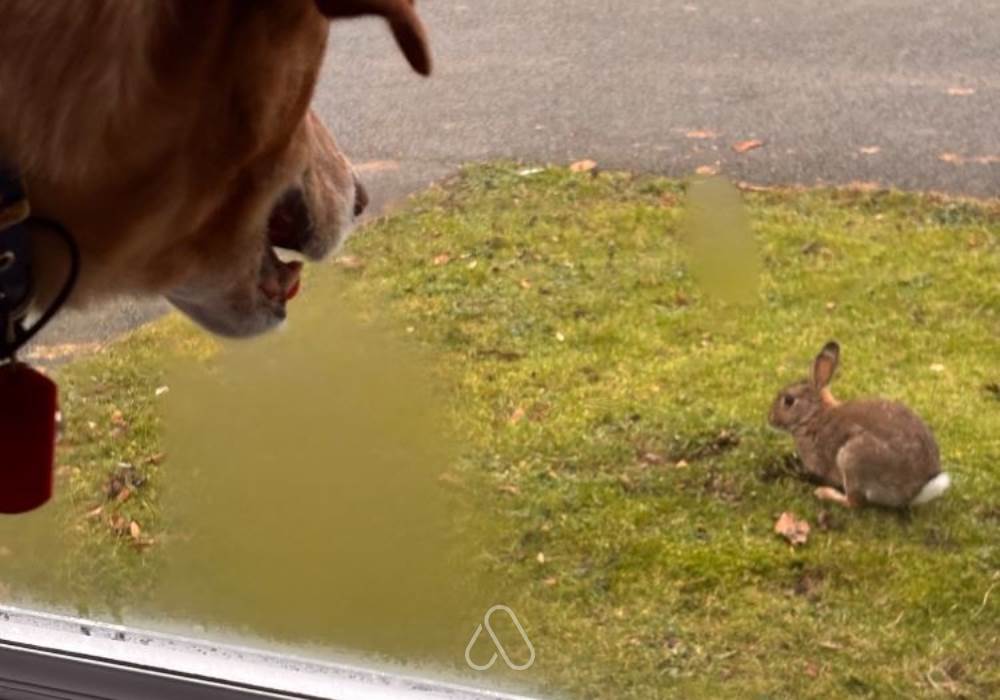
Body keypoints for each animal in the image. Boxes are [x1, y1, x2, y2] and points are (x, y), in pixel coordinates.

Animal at [768, 340, 950, 508]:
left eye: (789, 400)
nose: (770, 419)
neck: (813, 415)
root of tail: (915, 491)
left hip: (852, 459)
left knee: (855, 502)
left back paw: (824, 493)